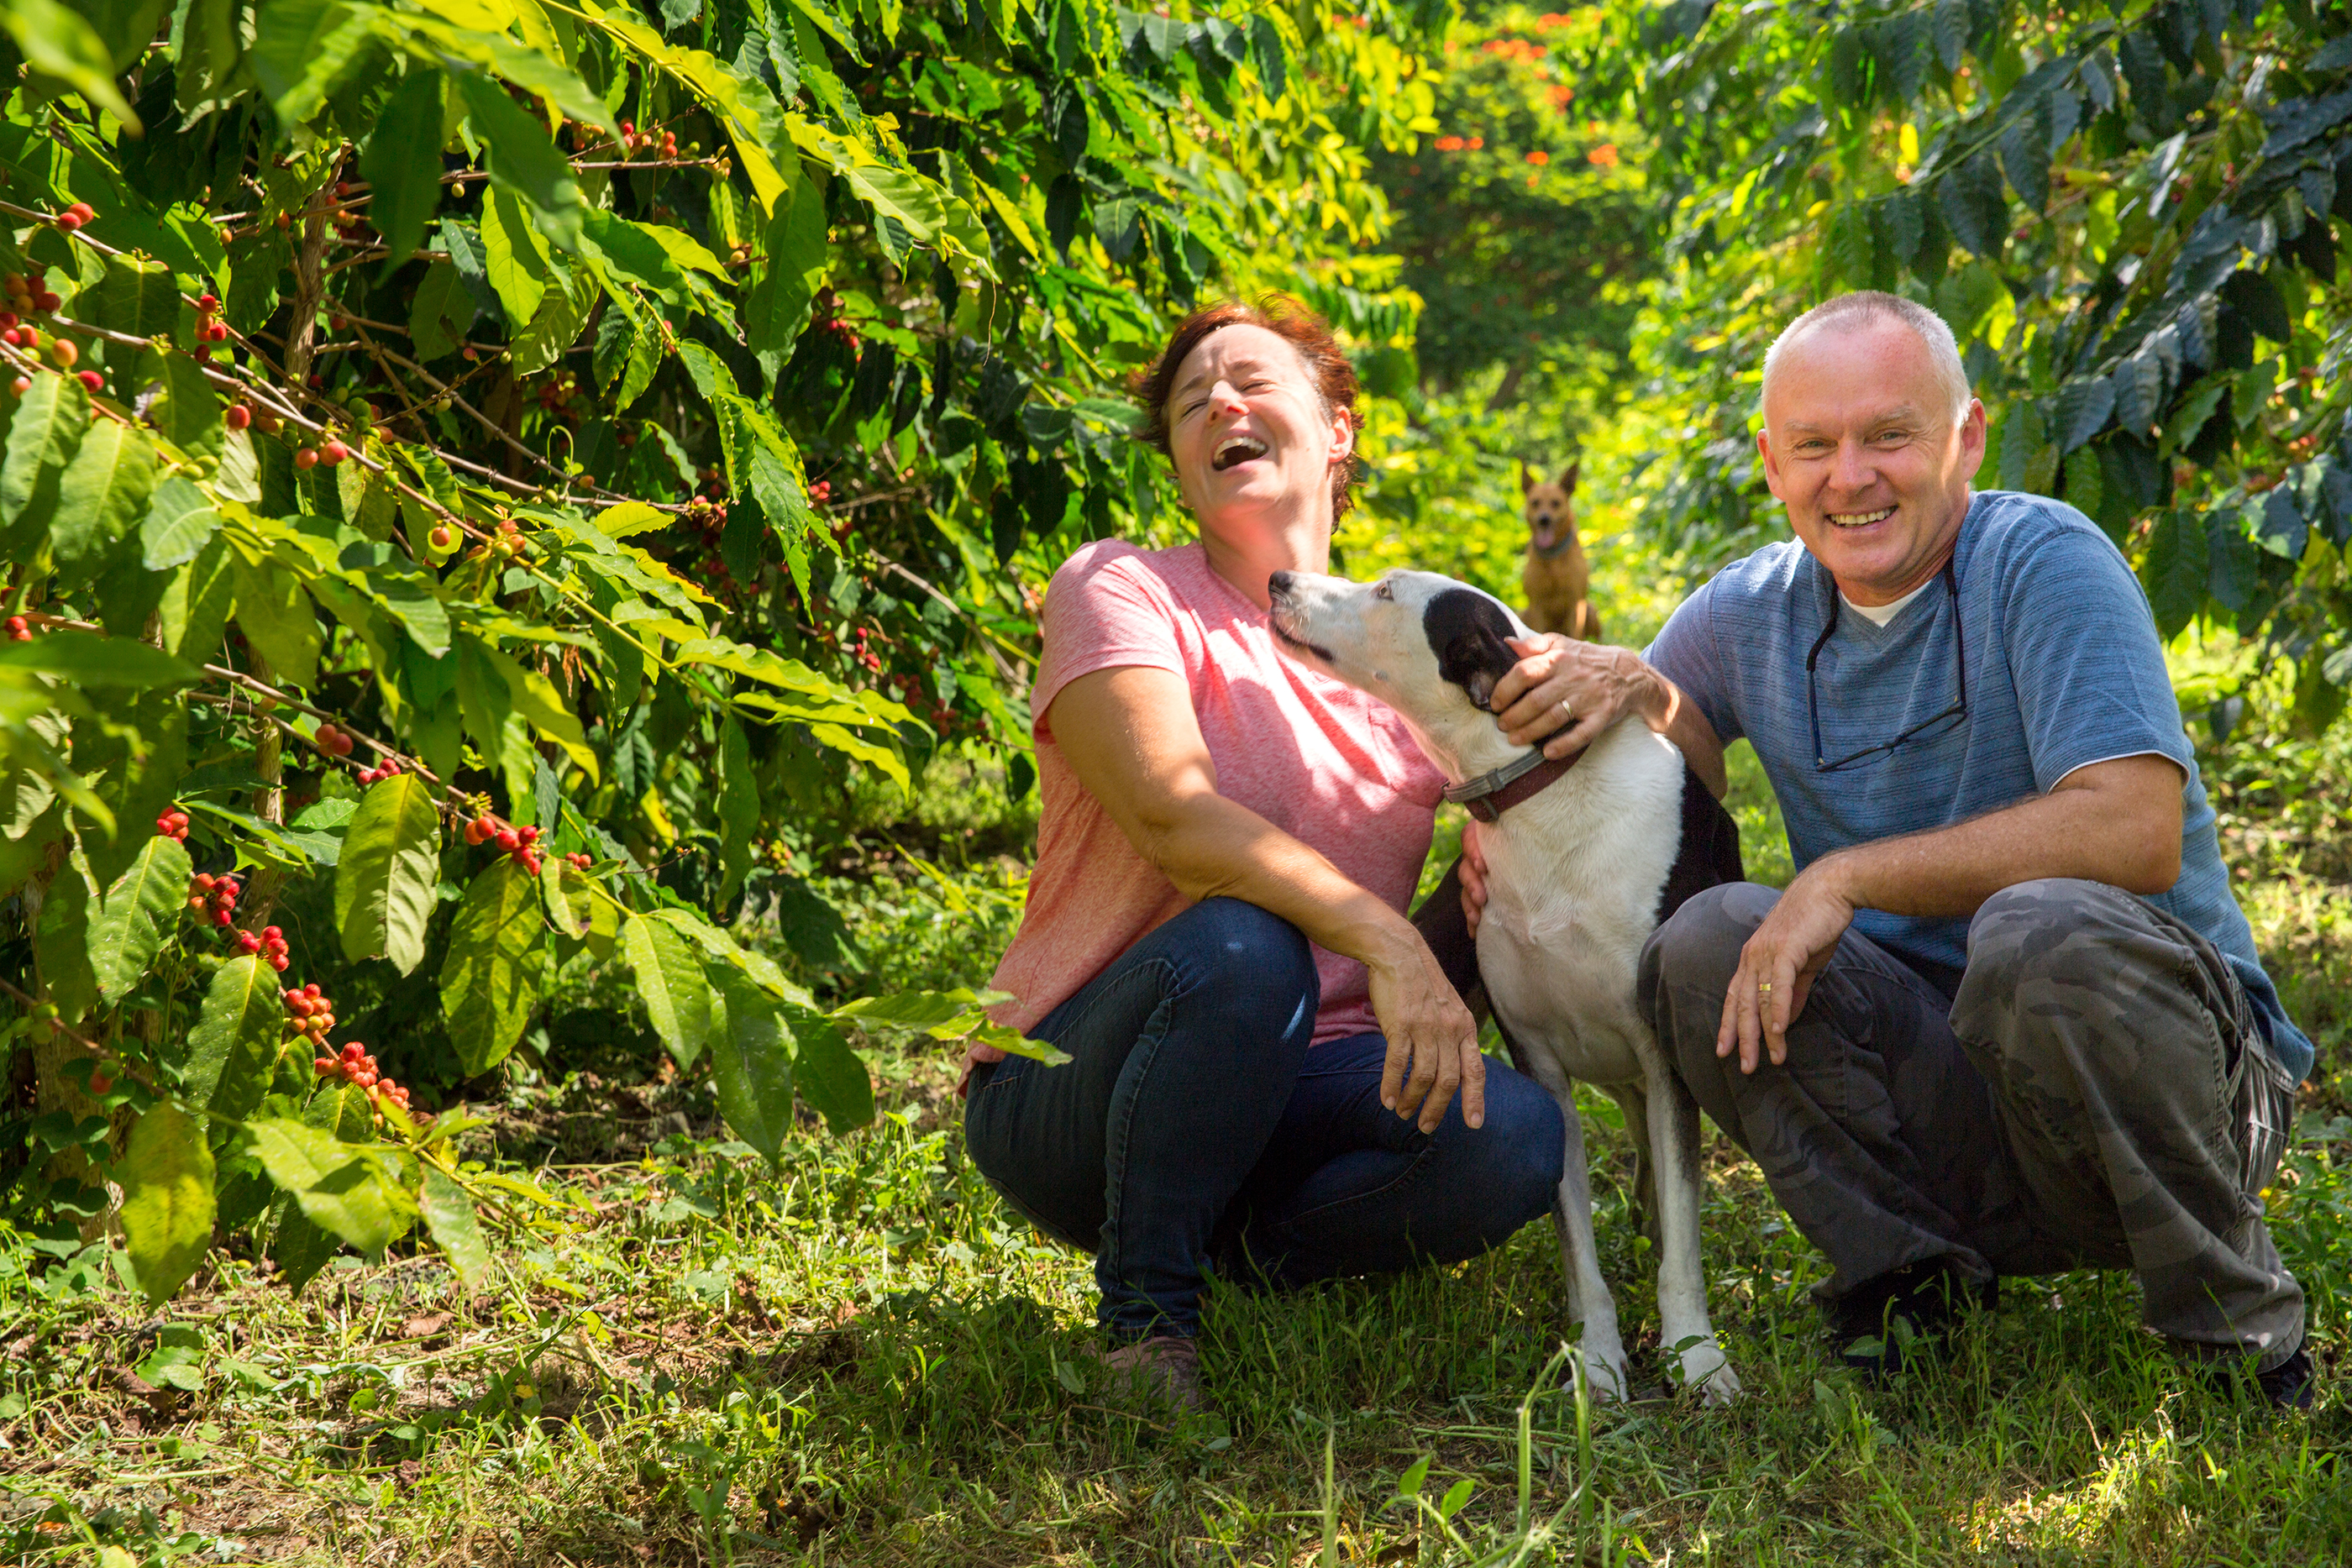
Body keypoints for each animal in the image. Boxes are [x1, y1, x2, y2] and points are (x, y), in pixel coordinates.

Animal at [1270, 571, 1750, 1401]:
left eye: (1385, 591)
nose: (1278, 580)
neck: (1544, 799)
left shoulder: (1662, 1061)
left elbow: (1684, 1240)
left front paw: (1696, 1357)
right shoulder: (1542, 1066)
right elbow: (1578, 1246)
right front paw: (1598, 1361)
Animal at [1524, 463, 1599, 639]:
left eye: (1556, 503)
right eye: (1535, 503)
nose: (1544, 519)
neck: (1554, 560)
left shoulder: (1576, 604)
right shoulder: (1536, 604)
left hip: (1590, 610)